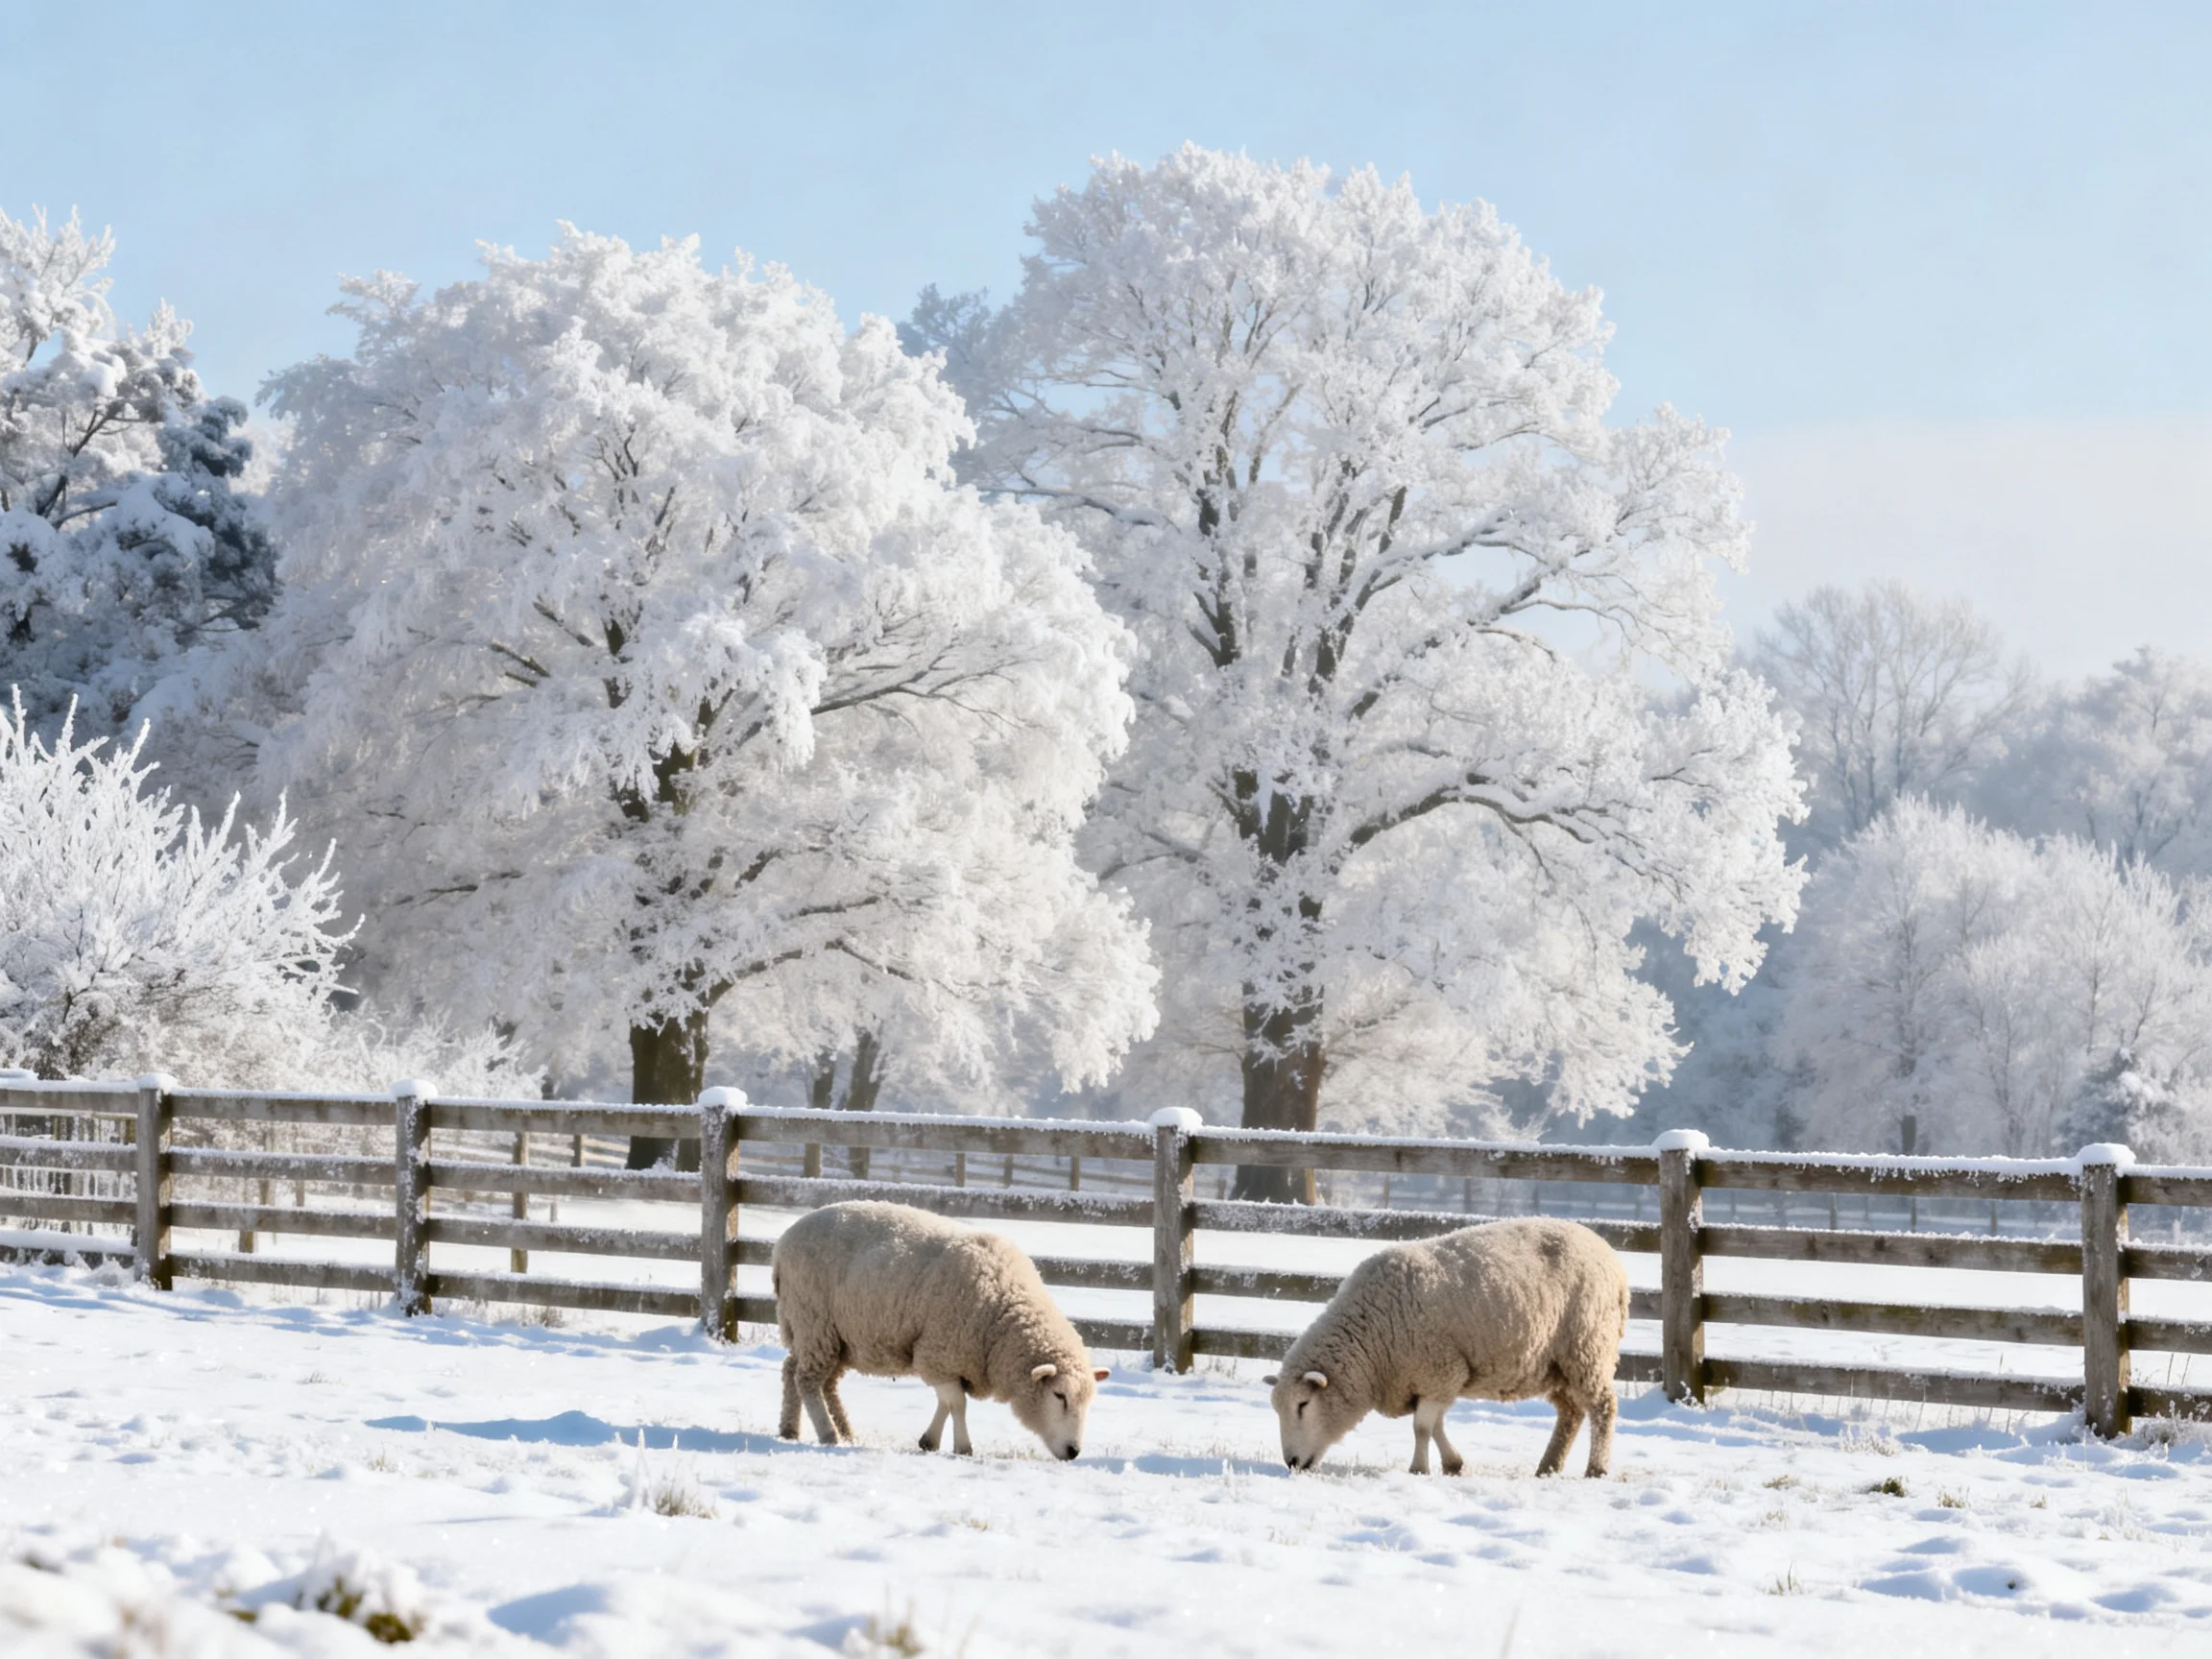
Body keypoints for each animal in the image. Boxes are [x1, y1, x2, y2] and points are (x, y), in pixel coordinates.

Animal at [771, 1200, 1109, 1461]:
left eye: (1089, 1402)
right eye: (1059, 1395)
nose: (1074, 1452)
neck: (1002, 1317)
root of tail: (783, 1242)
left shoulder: (947, 1359)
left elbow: (946, 1403)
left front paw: (929, 1441)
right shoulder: (939, 1352)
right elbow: (957, 1404)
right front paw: (962, 1447)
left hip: (830, 1334)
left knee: (796, 1372)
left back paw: (799, 1428)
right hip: (813, 1320)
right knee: (807, 1380)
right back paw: (828, 1433)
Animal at [1265, 1217, 1628, 1478]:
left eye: (1303, 1404)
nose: (1292, 1462)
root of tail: (1608, 1253)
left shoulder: (1439, 1370)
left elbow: (1422, 1427)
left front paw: (1419, 1469)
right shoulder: (1434, 1380)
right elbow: (1434, 1425)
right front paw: (1453, 1464)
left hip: (1587, 1346)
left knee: (1603, 1407)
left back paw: (1596, 1468)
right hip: (1556, 1364)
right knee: (1570, 1413)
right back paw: (1548, 1466)